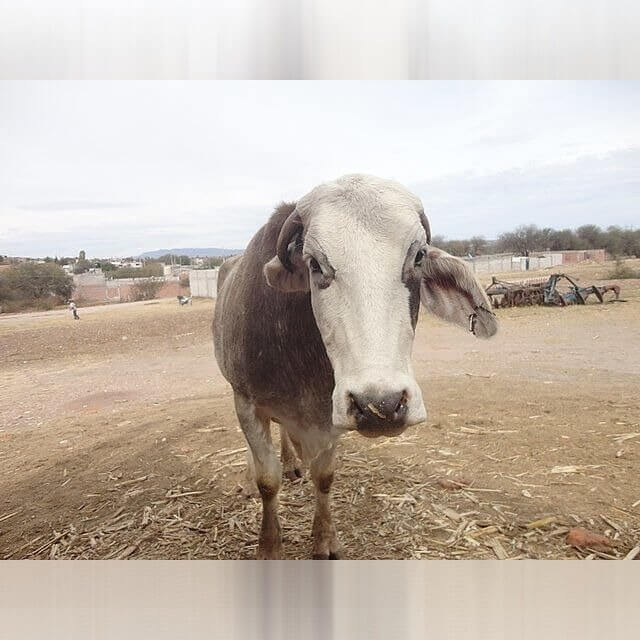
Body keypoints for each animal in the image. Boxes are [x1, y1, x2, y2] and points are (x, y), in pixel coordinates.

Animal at [213, 174, 497, 559]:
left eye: (419, 256)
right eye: (314, 263)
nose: (382, 405)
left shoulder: (329, 419)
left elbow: (324, 477)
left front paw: (325, 540)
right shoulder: (246, 403)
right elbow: (267, 480)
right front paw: (269, 546)